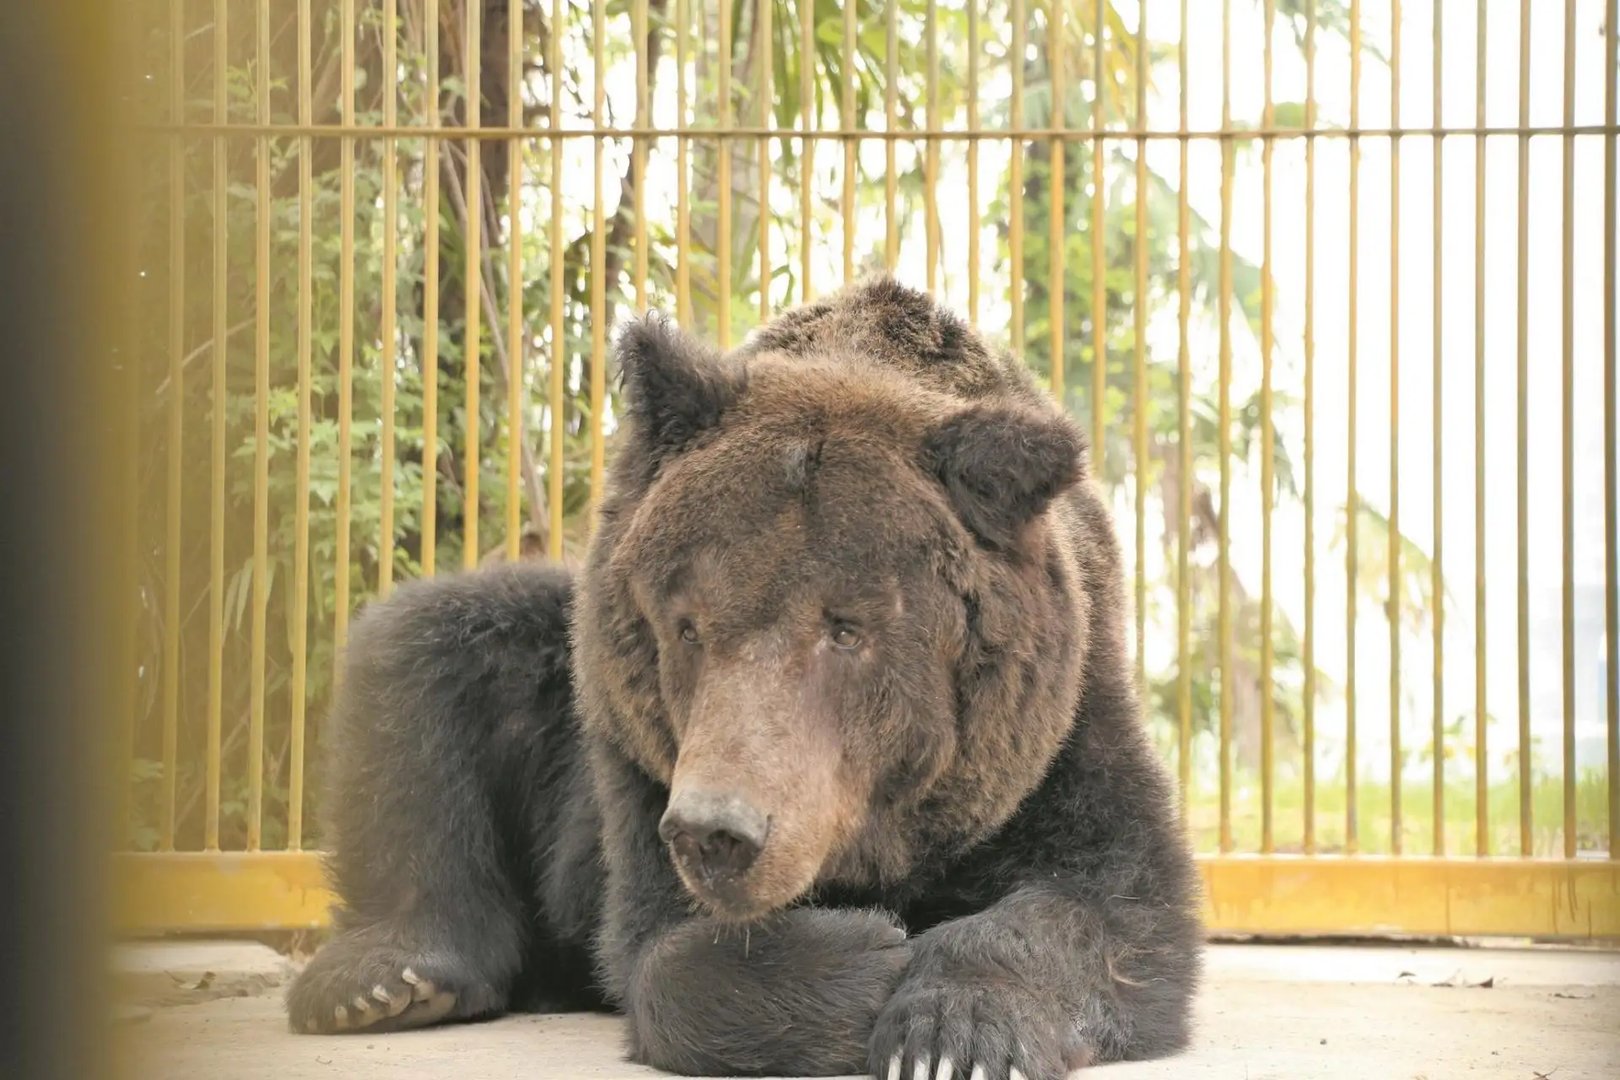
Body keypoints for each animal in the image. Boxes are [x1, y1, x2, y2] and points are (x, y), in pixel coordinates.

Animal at [284, 278, 1204, 1080]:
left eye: (846, 628)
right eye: (687, 623)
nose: (717, 831)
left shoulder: (1055, 735)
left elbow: (1113, 902)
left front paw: (951, 1032)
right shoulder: (638, 765)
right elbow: (668, 952)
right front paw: (866, 959)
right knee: (417, 660)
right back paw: (385, 977)